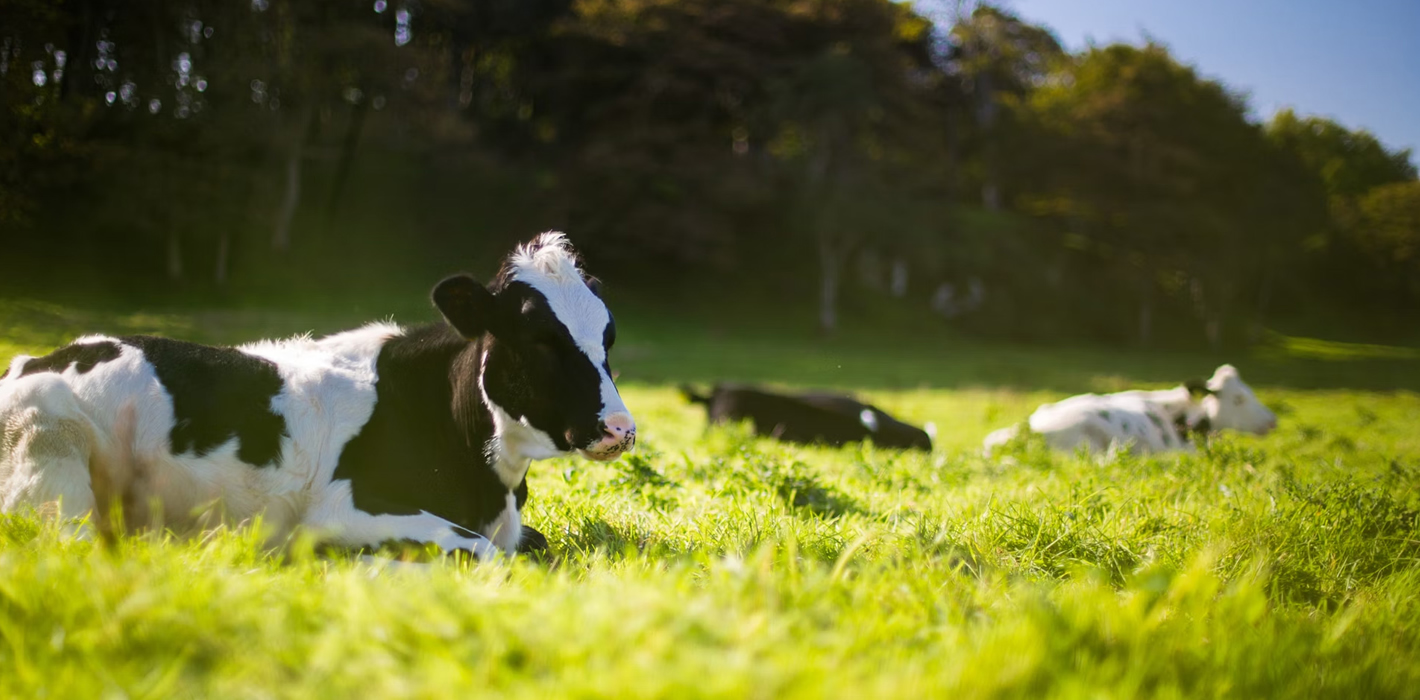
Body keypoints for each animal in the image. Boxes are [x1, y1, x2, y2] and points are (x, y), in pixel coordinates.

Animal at [0, 232, 634, 561]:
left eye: (608, 336)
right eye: (539, 339)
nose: (621, 429)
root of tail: (35, 359)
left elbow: (530, 545)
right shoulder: (343, 506)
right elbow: (481, 551)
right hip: (51, 464)